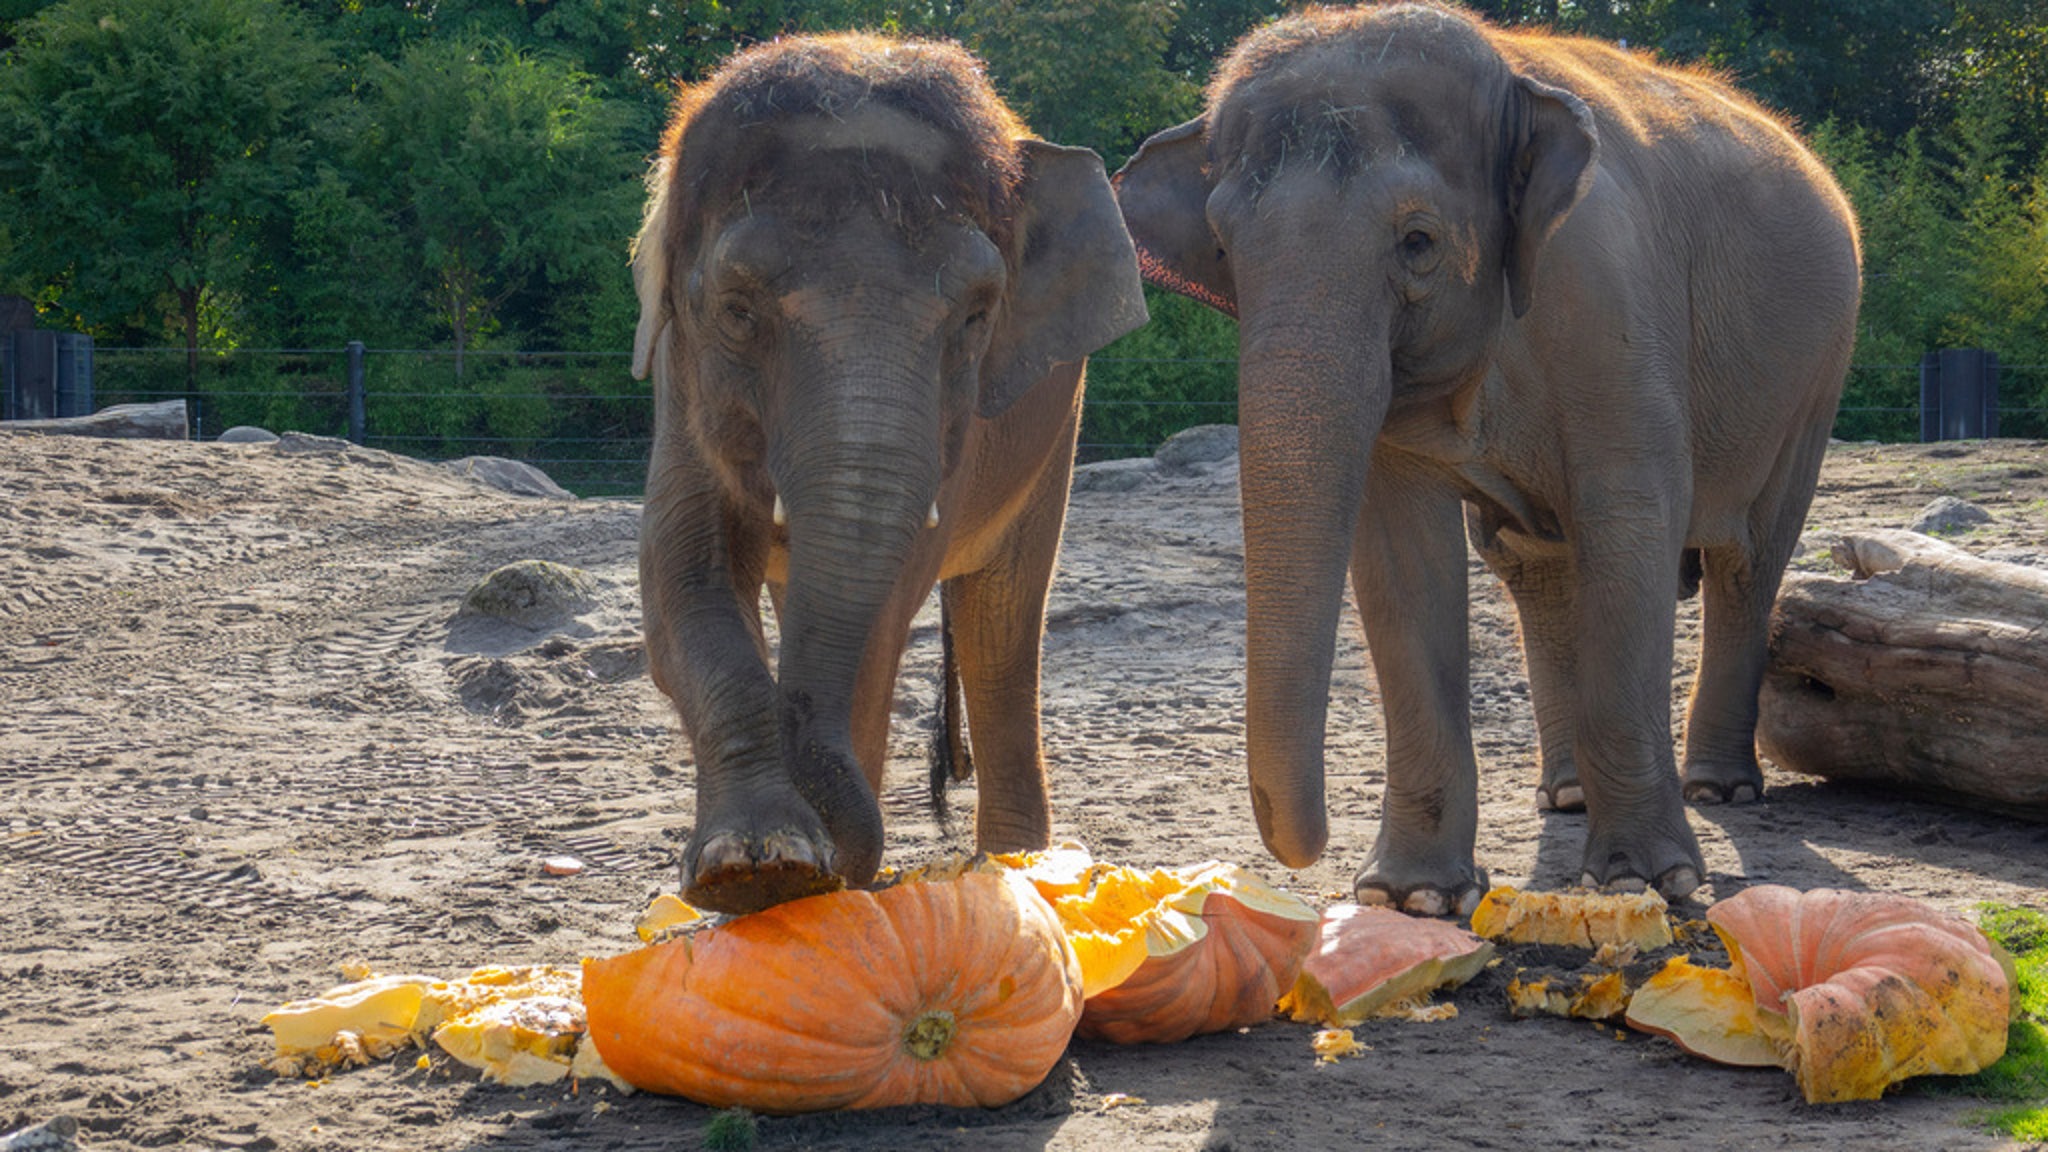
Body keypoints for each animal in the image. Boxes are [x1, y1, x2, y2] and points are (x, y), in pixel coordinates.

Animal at [632, 34, 1147, 915]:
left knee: (1003, 620)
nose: (843, 857)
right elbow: (683, 576)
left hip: (1054, 424)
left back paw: (1022, 870)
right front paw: (754, 867)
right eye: (737, 311)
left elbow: (883, 617)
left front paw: (814, 872)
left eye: (976, 315)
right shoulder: (679, 376)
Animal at [1113, 4, 1859, 913]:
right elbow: (1400, 555)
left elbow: (1631, 524)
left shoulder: (1611, 302)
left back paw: (1718, 789)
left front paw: (1649, 882)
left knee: (1751, 557)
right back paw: (1567, 795)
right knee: (1535, 565)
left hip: (1819, 373)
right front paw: (1411, 897)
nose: (1305, 857)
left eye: (1418, 241)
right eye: (1222, 247)